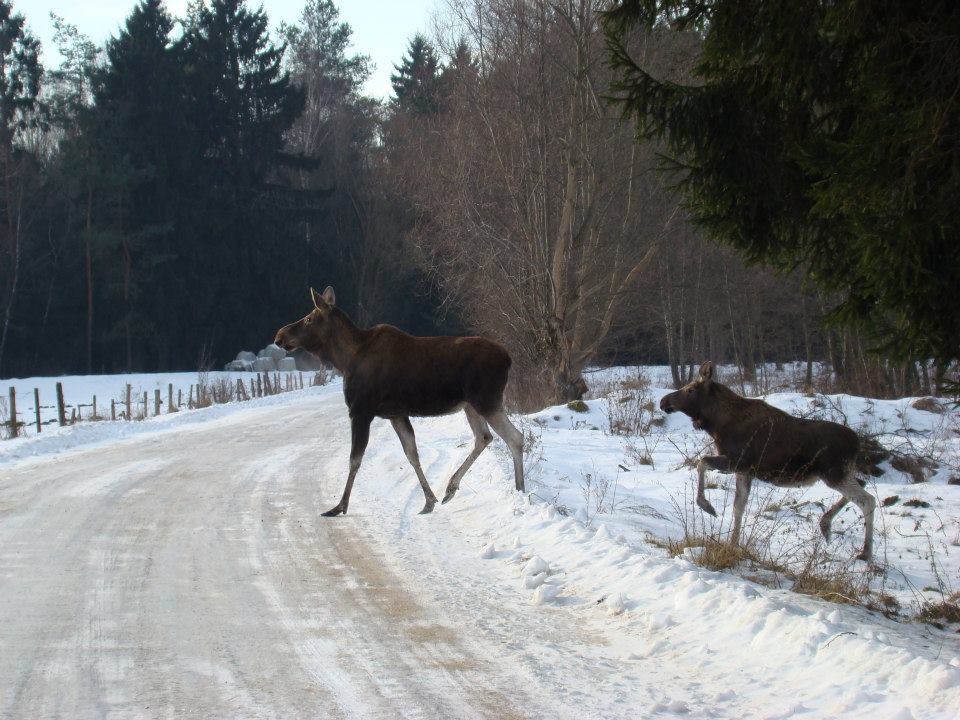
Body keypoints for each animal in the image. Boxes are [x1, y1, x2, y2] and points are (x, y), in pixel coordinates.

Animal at [270, 286, 524, 516]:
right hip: (471, 405)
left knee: (515, 437)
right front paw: (428, 501)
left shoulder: (360, 410)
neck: (345, 360)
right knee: (484, 437)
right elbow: (411, 454)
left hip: (486, 401)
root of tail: (509, 358)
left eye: (309, 318)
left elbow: (355, 459)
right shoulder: (396, 414)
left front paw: (339, 506)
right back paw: (452, 488)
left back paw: (520, 490)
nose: (279, 336)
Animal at [660, 362, 876, 560]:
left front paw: (706, 506)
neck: (716, 425)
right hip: (840, 474)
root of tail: (857, 443)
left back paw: (865, 552)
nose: (663, 401)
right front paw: (732, 544)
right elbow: (738, 507)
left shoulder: (738, 462)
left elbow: (701, 463)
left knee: (868, 500)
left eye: (690, 389)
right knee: (863, 485)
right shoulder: (745, 471)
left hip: (834, 474)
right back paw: (826, 525)